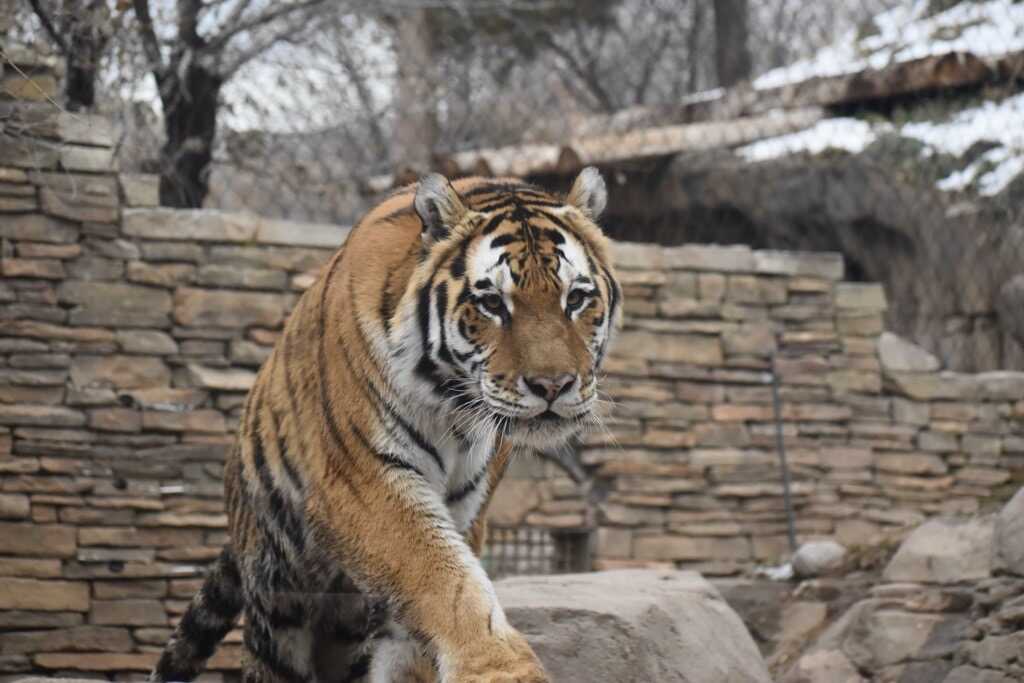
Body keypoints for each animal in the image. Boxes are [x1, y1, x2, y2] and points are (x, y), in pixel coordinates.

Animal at [149, 167, 622, 683]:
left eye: (576, 298)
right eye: (493, 303)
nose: (553, 385)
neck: (451, 408)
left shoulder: (466, 508)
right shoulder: (361, 482)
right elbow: (442, 578)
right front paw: (499, 668)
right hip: (276, 600)